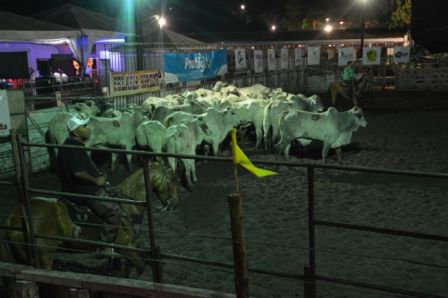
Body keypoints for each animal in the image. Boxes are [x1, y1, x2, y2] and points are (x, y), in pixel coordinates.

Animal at [0, 162, 178, 274]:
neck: (127, 205)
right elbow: (140, 267)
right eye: (171, 180)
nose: (174, 203)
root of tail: (15, 215)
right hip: (44, 257)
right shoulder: (126, 248)